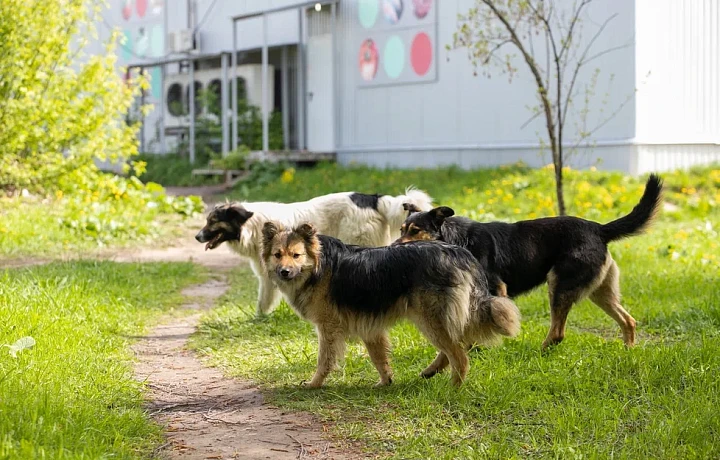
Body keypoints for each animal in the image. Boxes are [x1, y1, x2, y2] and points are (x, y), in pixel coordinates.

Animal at [194, 189, 434, 314]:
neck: (250, 224)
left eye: (212, 221)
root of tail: (373, 198)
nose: (197, 237)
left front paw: (256, 321)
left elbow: (263, 302)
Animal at [262, 221, 520, 386]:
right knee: (459, 345)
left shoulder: (328, 328)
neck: (318, 267)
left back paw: (454, 387)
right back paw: (432, 371)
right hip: (441, 319)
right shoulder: (369, 327)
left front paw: (313, 384)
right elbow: (379, 357)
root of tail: (459, 253)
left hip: (430, 320)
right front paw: (386, 381)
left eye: (296, 255)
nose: (284, 272)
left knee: (459, 354)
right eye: (277, 255)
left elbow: (324, 360)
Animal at [396, 175, 660, 348]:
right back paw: (627, 350)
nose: (394, 247)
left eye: (416, 231)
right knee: (628, 320)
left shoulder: (496, 289)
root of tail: (599, 229)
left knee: (558, 333)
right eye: (401, 230)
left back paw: (541, 350)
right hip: (599, 291)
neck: (456, 239)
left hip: (559, 284)